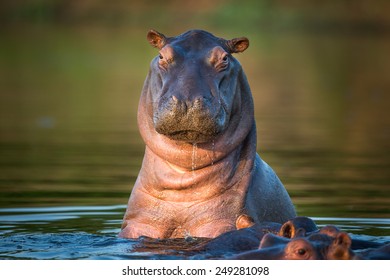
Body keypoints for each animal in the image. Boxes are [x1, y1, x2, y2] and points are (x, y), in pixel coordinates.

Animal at [119, 29, 296, 238]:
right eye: (162, 56)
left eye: (225, 58)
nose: (187, 101)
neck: (183, 176)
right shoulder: (139, 224)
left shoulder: (220, 223)